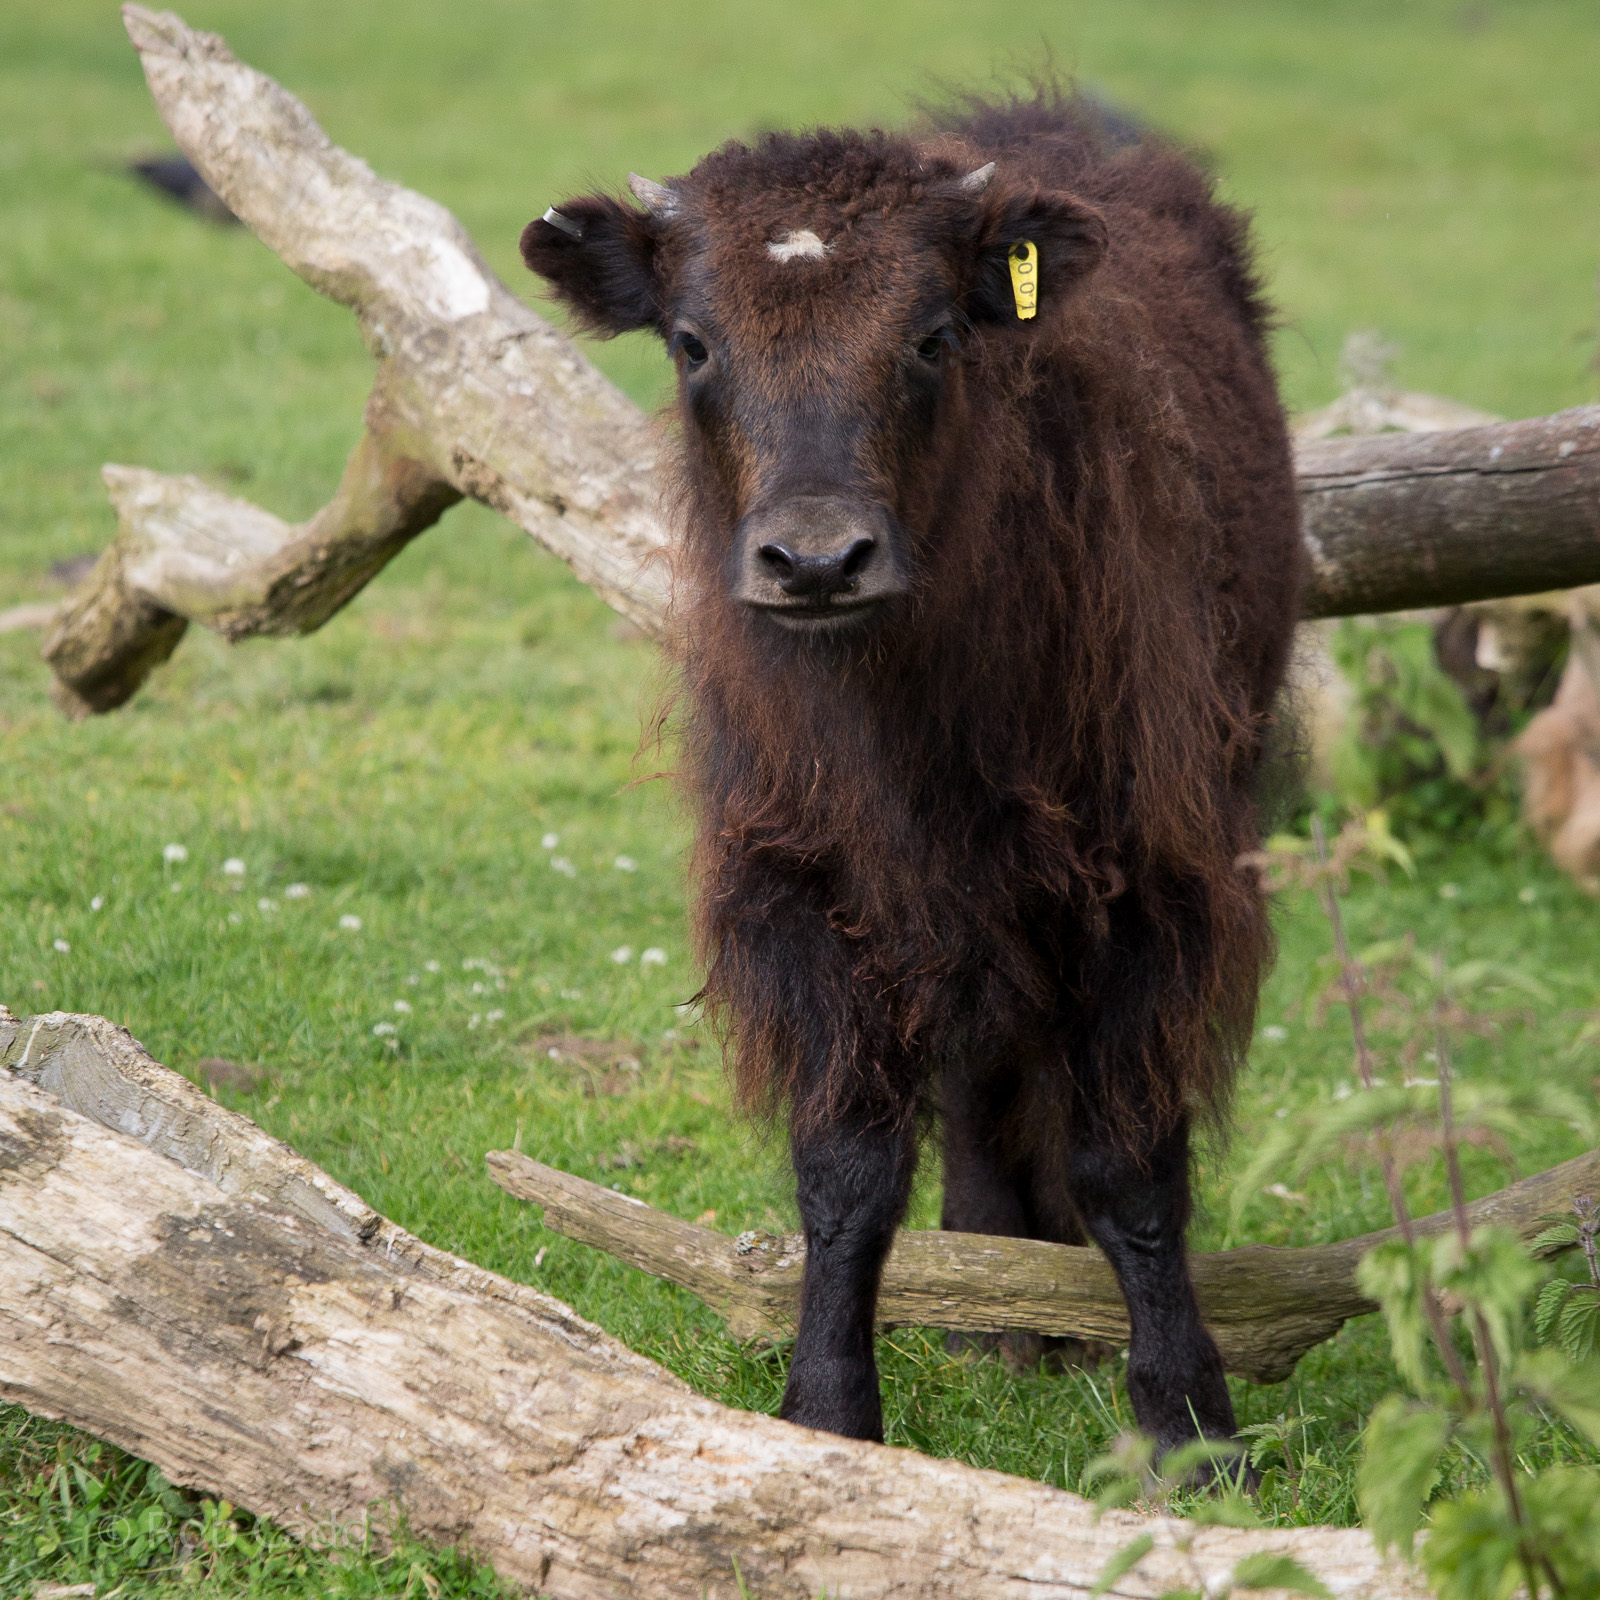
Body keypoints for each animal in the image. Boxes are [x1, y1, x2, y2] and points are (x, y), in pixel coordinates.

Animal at [521, 90, 1303, 1460]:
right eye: (691, 344)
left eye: (934, 336)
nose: (815, 560)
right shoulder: (808, 891)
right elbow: (844, 1169)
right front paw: (828, 1413)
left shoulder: (1150, 885)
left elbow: (1129, 1167)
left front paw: (1188, 1427)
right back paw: (993, 1306)